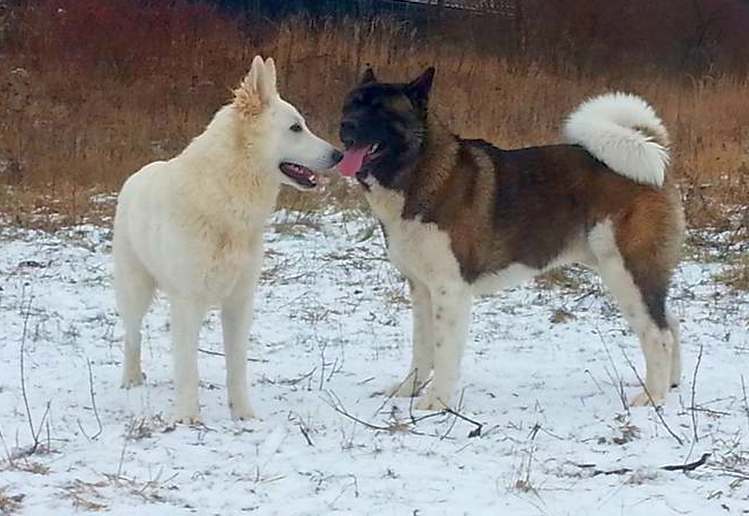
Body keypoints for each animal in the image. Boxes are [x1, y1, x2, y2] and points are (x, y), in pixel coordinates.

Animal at [112, 55, 342, 424]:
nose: (338, 155)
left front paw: (243, 414)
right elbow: (187, 367)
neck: (227, 197)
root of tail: (137, 174)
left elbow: (236, 367)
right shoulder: (187, 301)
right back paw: (131, 380)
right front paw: (187, 417)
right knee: (132, 336)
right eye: (296, 128)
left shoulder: (239, 302)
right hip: (135, 290)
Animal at [338, 66, 684, 410]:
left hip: (626, 272)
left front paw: (436, 403)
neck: (420, 170)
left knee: (658, 334)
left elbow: (444, 351)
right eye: (351, 105)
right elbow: (422, 348)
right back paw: (671, 384)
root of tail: (653, 151)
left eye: (380, 110)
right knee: (670, 322)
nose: (345, 126)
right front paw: (408, 390)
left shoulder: (450, 290)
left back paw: (652, 397)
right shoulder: (421, 288)